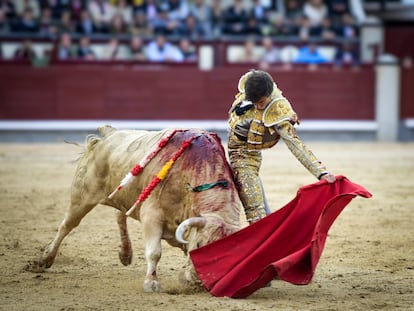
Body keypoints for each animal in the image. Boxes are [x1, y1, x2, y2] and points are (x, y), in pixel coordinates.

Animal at [34, 126, 246, 292]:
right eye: (200, 244)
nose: (197, 282)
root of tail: (108, 134)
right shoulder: (152, 215)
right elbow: (154, 252)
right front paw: (151, 283)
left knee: (119, 215)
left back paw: (125, 253)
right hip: (82, 195)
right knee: (67, 224)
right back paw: (45, 259)